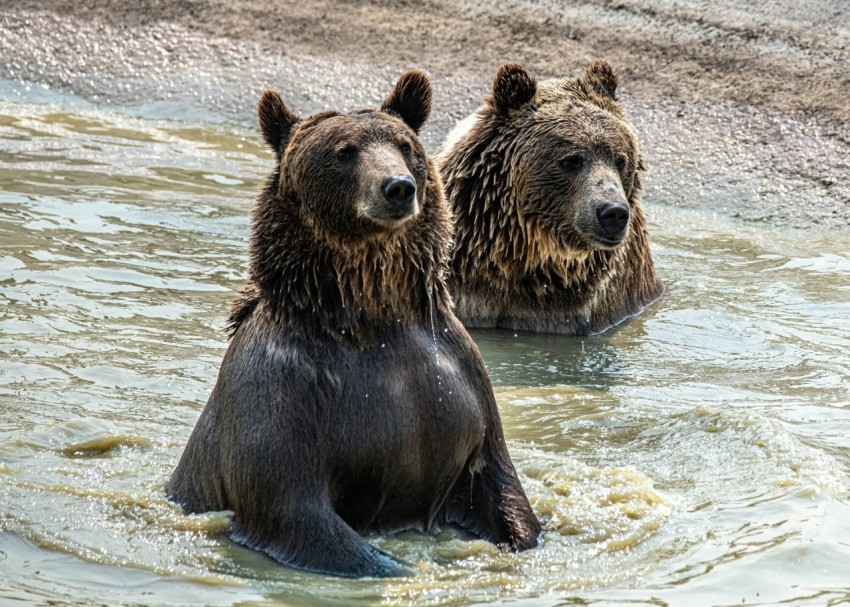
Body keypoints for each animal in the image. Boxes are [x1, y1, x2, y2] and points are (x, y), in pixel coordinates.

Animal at [165, 71, 536, 580]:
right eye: (343, 152)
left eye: (405, 145)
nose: (398, 187)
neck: (372, 315)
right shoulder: (284, 389)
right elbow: (293, 508)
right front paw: (399, 569)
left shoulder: (462, 379)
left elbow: (500, 482)